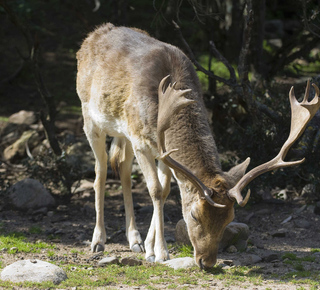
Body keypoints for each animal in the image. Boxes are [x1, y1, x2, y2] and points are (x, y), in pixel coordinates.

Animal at [77, 23, 320, 270]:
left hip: (122, 133)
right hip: (90, 117)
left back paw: (134, 240)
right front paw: (161, 253)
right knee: (101, 171)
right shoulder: (141, 140)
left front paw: (149, 247)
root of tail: (95, 33)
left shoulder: (162, 151)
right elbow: (155, 190)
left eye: (230, 218)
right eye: (194, 216)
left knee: (124, 169)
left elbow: (165, 191)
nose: (207, 262)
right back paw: (98, 241)